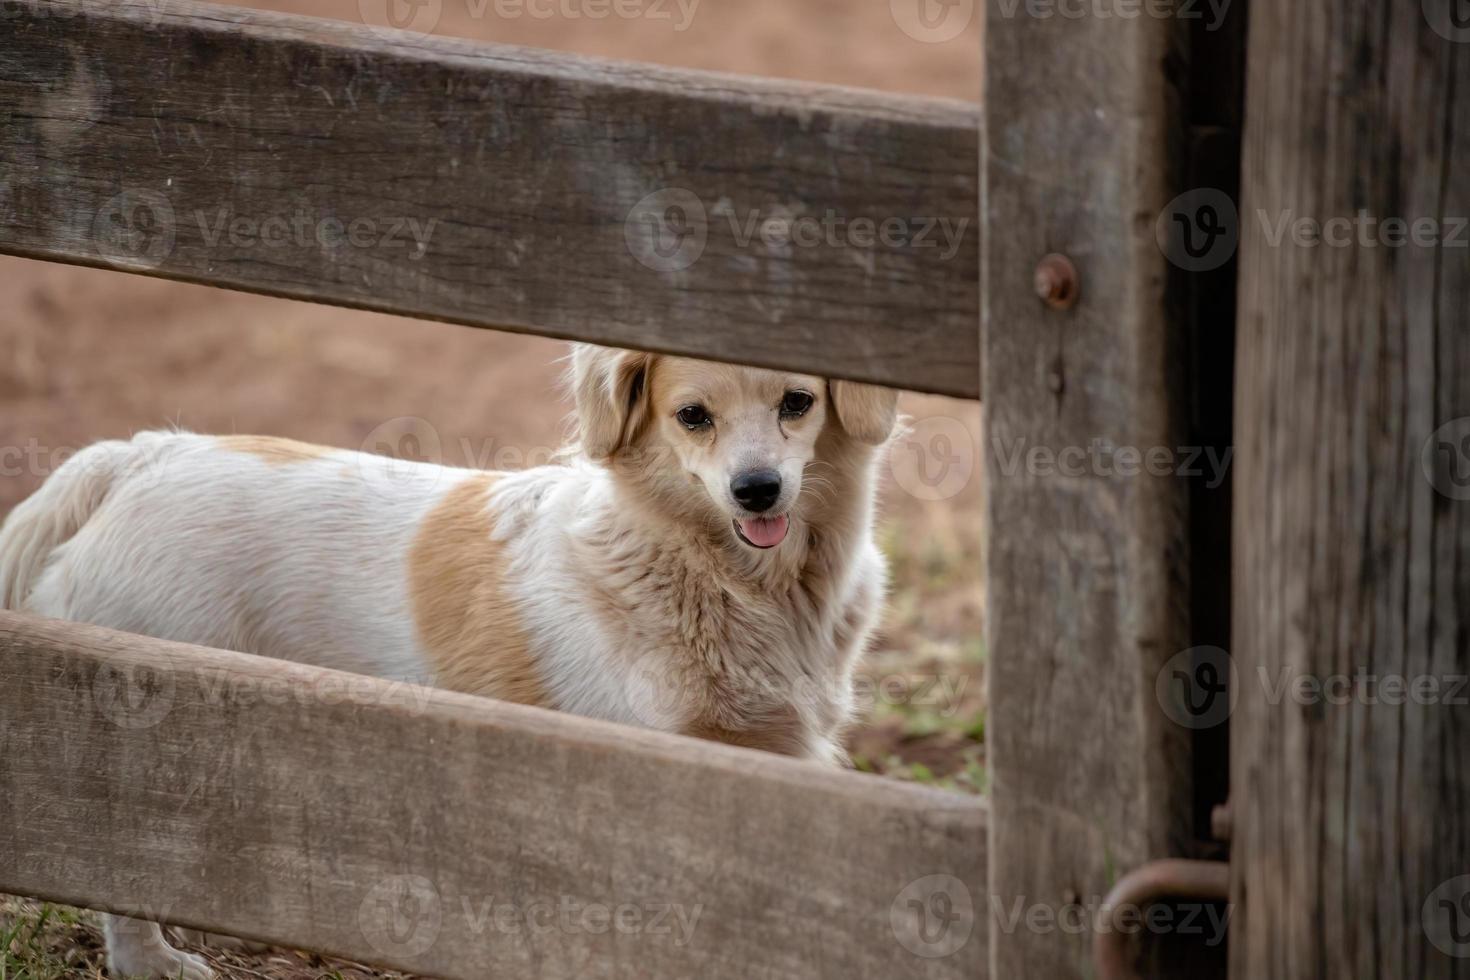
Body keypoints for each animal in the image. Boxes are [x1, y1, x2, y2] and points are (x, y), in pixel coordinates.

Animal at [0, 345, 893, 980]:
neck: (720, 576)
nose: (757, 489)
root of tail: (139, 458)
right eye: (692, 416)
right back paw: (153, 959)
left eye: (797, 403)